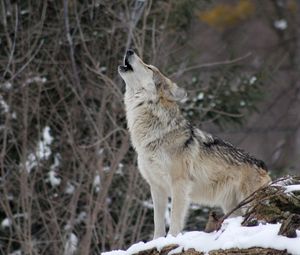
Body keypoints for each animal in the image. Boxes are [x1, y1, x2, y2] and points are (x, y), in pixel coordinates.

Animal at [118, 49, 272, 239]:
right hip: (231, 207)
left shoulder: (179, 184)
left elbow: (175, 219)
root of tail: (262, 164)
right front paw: (157, 241)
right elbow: (158, 223)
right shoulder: (157, 187)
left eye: (149, 67)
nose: (130, 50)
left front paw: (172, 239)